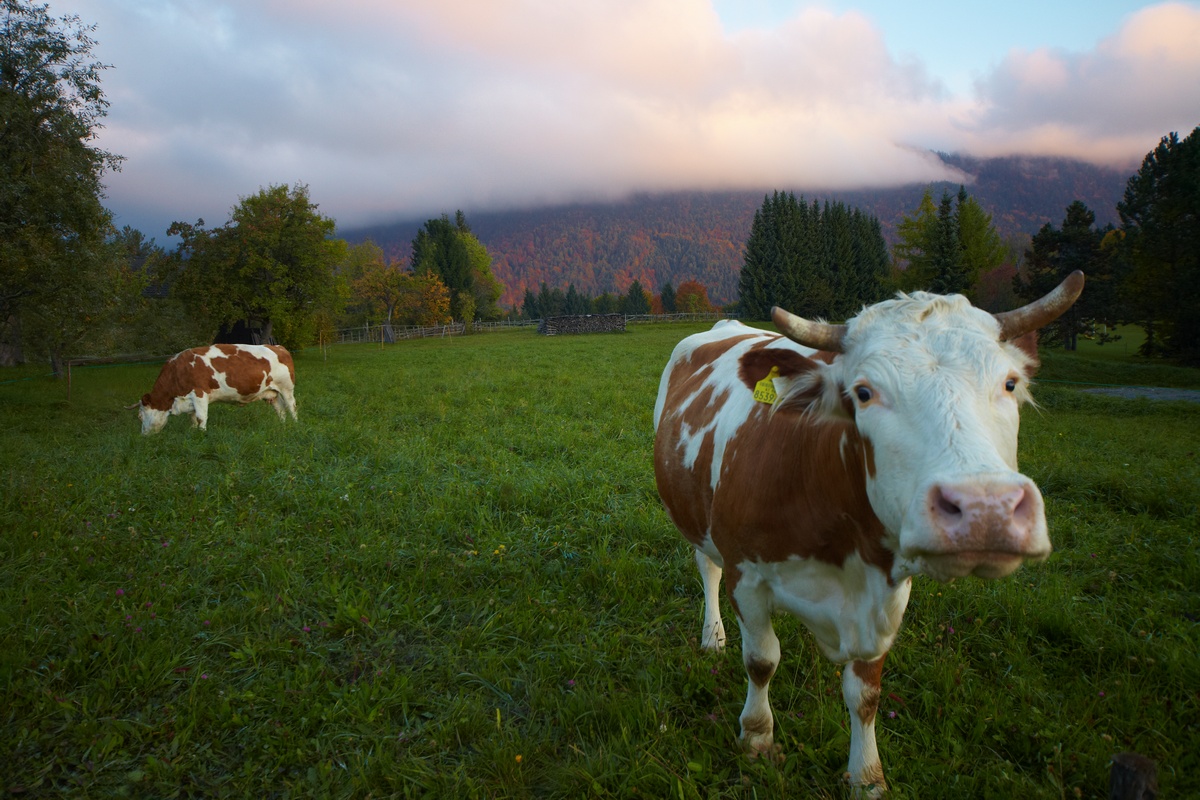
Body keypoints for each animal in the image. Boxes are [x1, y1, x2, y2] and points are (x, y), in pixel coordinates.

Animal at [131, 343, 297, 434]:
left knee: (291, 407)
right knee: (280, 409)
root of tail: (278, 347)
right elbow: (192, 418)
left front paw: (202, 434)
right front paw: (193, 432)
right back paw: (282, 426)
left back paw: (295, 425)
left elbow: (201, 417)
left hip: (287, 388)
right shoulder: (190, 400)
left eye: (140, 416)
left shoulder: (199, 393)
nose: (143, 436)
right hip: (272, 393)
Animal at [657, 273, 1089, 796]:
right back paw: (713, 636)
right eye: (863, 393)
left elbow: (865, 693)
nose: (985, 508)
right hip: (698, 521)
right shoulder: (747, 575)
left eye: (1010, 383)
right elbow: (761, 660)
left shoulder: (886, 593)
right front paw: (756, 738)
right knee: (708, 568)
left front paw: (866, 776)